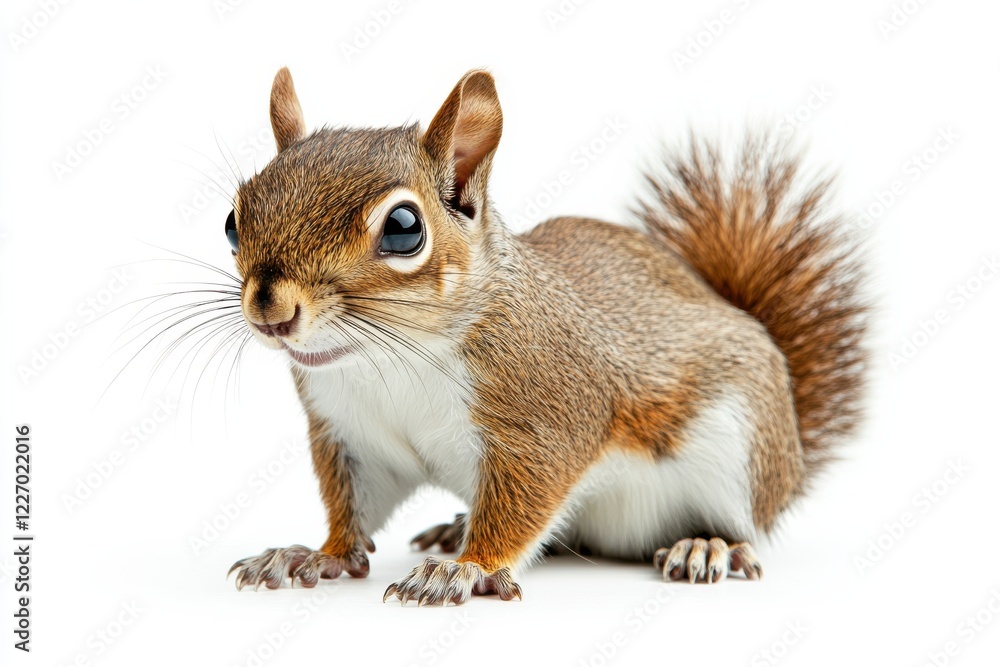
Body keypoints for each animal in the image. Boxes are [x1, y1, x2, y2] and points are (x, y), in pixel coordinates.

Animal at [226, 67, 867, 605]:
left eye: (404, 229)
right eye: (233, 222)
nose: (271, 310)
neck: (386, 358)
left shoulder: (549, 421)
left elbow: (525, 499)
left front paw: (468, 568)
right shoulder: (352, 434)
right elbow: (353, 510)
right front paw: (315, 554)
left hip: (740, 447)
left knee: (743, 525)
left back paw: (708, 545)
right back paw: (455, 526)